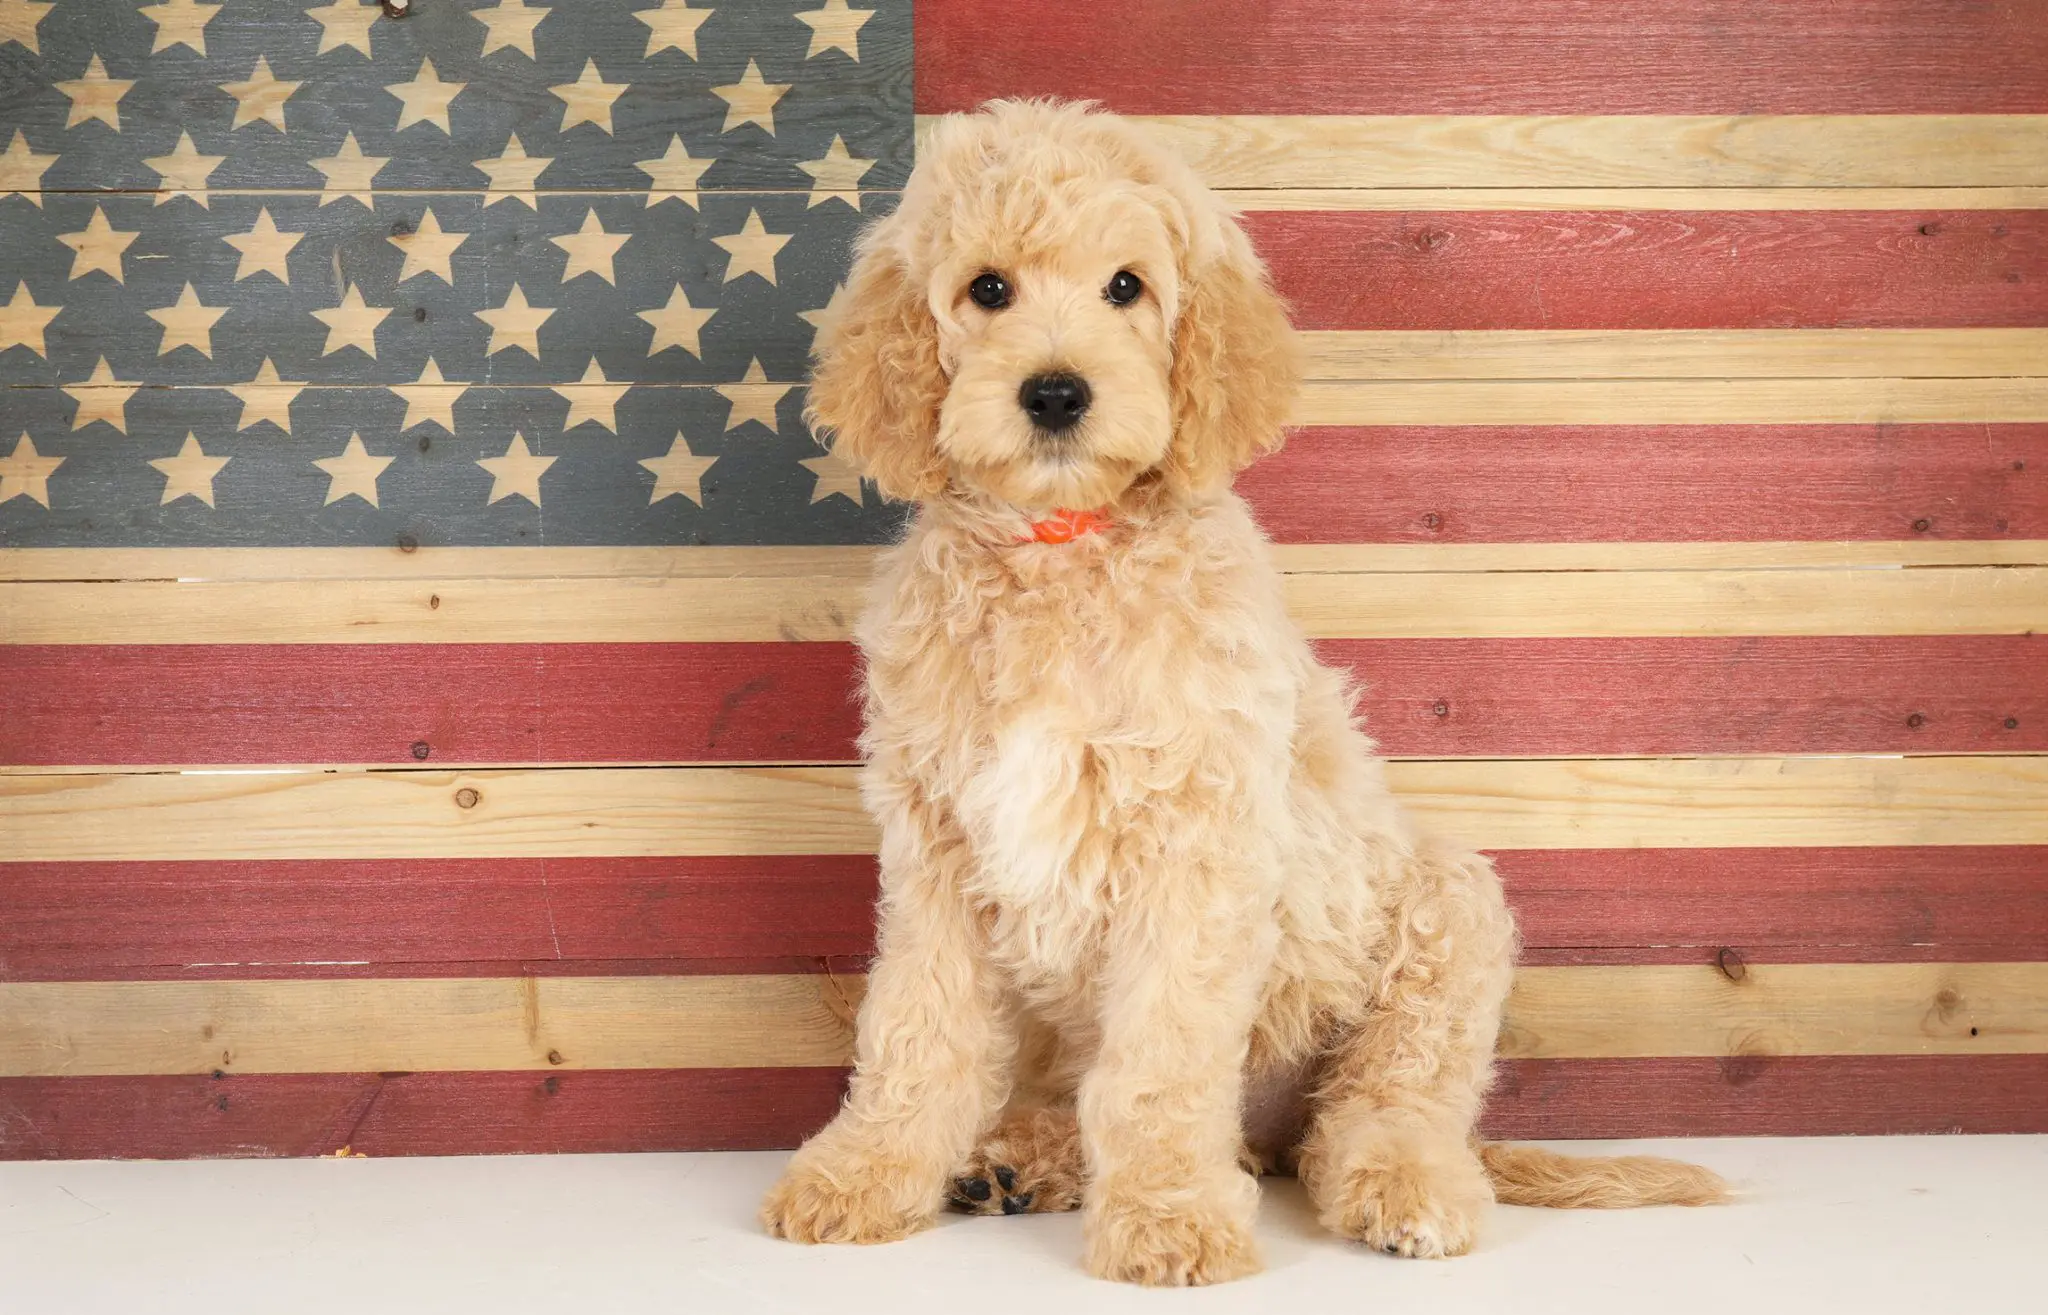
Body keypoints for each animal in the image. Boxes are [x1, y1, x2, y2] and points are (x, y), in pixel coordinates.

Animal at [761, 99, 1720, 1278]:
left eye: (1126, 286)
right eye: (987, 288)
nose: (1055, 393)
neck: (1061, 548)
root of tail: (1272, 1130)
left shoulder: (1193, 847)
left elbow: (1162, 1063)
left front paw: (1168, 1214)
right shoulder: (936, 848)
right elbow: (917, 1028)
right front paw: (864, 1173)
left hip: (1447, 909)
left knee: (1383, 1104)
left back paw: (1400, 1184)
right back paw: (1015, 1158)